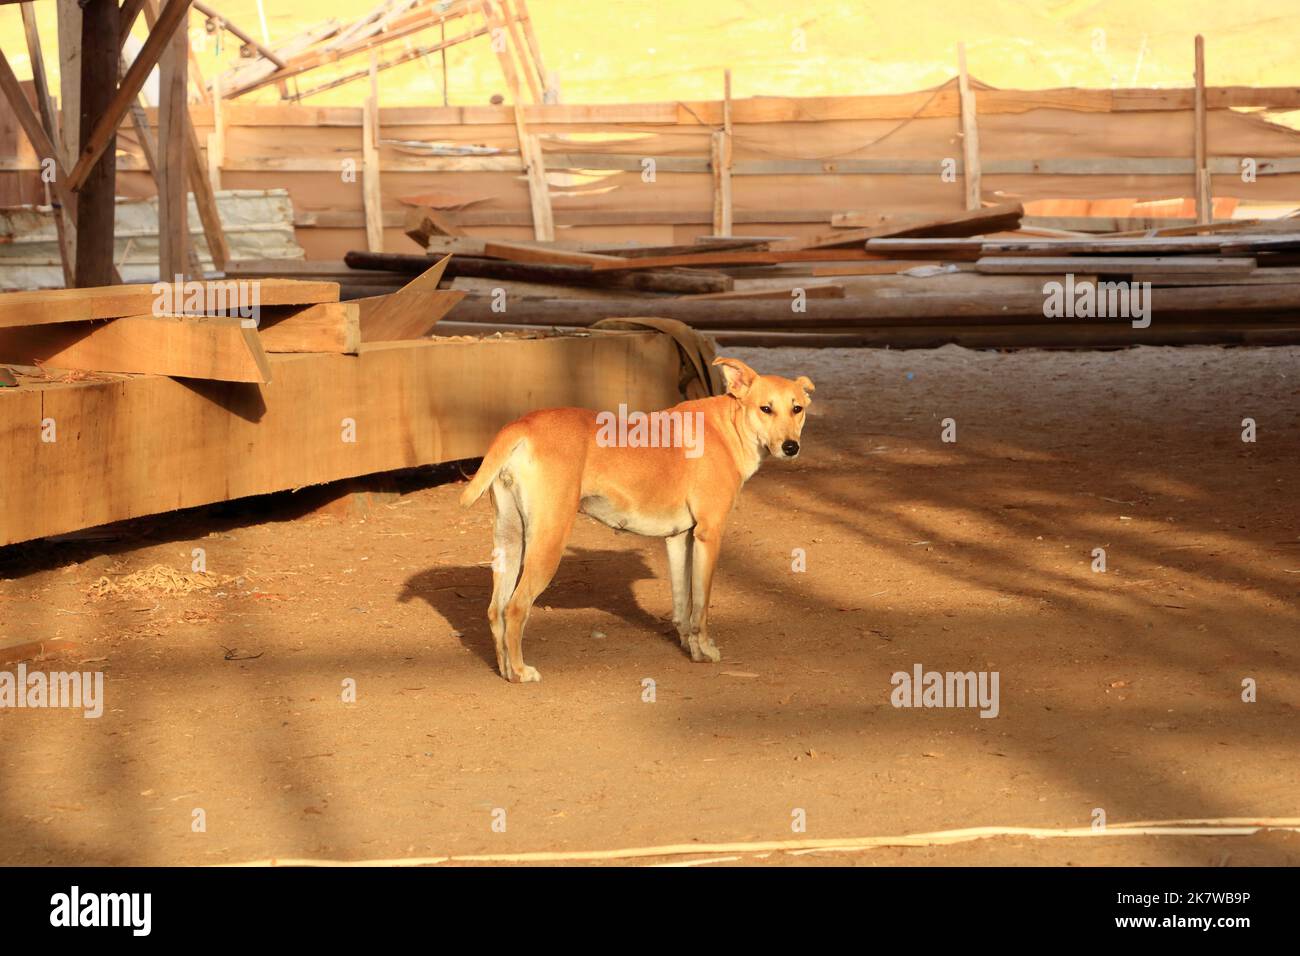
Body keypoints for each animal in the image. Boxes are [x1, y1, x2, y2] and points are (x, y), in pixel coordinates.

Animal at [457, 356, 811, 681]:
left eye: (797, 409)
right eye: (766, 409)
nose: (791, 447)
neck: (728, 428)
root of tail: (522, 425)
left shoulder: (679, 539)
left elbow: (682, 607)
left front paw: (691, 650)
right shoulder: (709, 535)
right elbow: (701, 607)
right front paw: (706, 650)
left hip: (510, 541)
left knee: (496, 610)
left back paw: (506, 670)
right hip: (548, 542)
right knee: (516, 608)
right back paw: (521, 671)